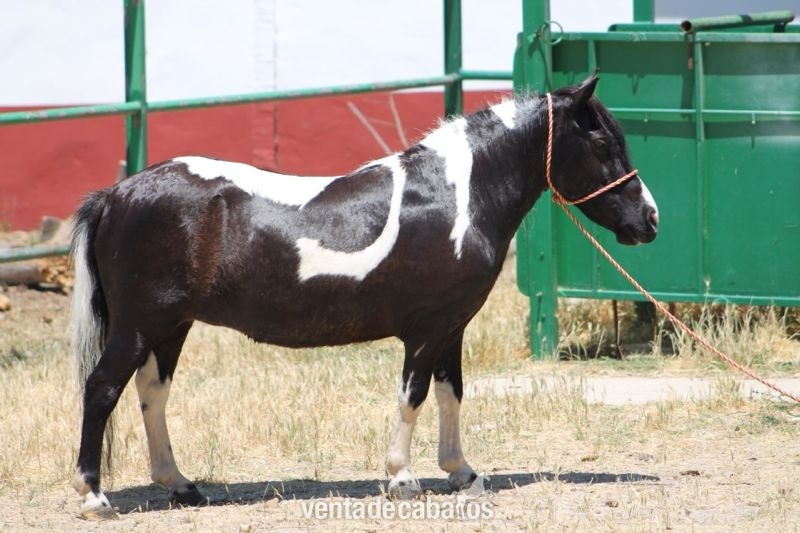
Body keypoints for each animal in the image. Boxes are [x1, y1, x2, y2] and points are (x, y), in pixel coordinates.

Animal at [70, 74, 658, 519]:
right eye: (602, 145)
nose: (650, 220)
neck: (457, 199)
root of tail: (117, 193)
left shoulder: (451, 328)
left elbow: (451, 394)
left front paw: (462, 473)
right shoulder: (425, 330)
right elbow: (413, 397)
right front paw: (402, 479)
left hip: (171, 326)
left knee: (152, 394)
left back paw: (181, 485)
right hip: (140, 324)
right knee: (102, 389)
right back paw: (95, 496)